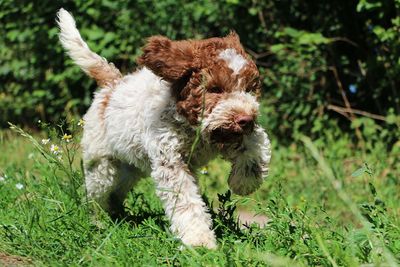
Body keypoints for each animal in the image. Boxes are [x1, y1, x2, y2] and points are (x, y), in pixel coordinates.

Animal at [57, 8, 272, 251]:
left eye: (250, 89)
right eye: (215, 89)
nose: (246, 119)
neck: (193, 128)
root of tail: (113, 85)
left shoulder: (230, 134)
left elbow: (256, 145)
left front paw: (244, 182)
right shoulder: (170, 160)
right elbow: (185, 200)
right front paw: (198, 240)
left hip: (131, 167)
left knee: (116, 191)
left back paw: (117, 215)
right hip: (101, 165)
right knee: (96, 194)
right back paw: (99, 221)